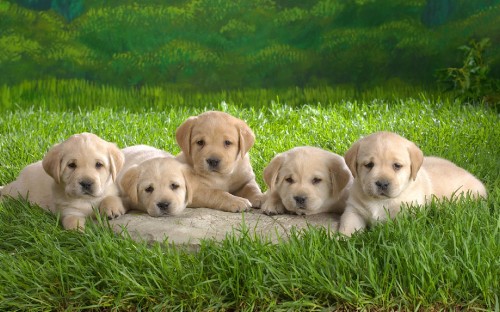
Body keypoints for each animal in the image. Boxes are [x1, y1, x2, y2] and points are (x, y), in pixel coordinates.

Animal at [338, 132, 486, 236]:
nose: (382, 183)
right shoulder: (354, 210)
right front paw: (342, 240)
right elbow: (348, 225)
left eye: (397, 166)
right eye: (369, 165)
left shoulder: (407, 214)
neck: (381, 201)